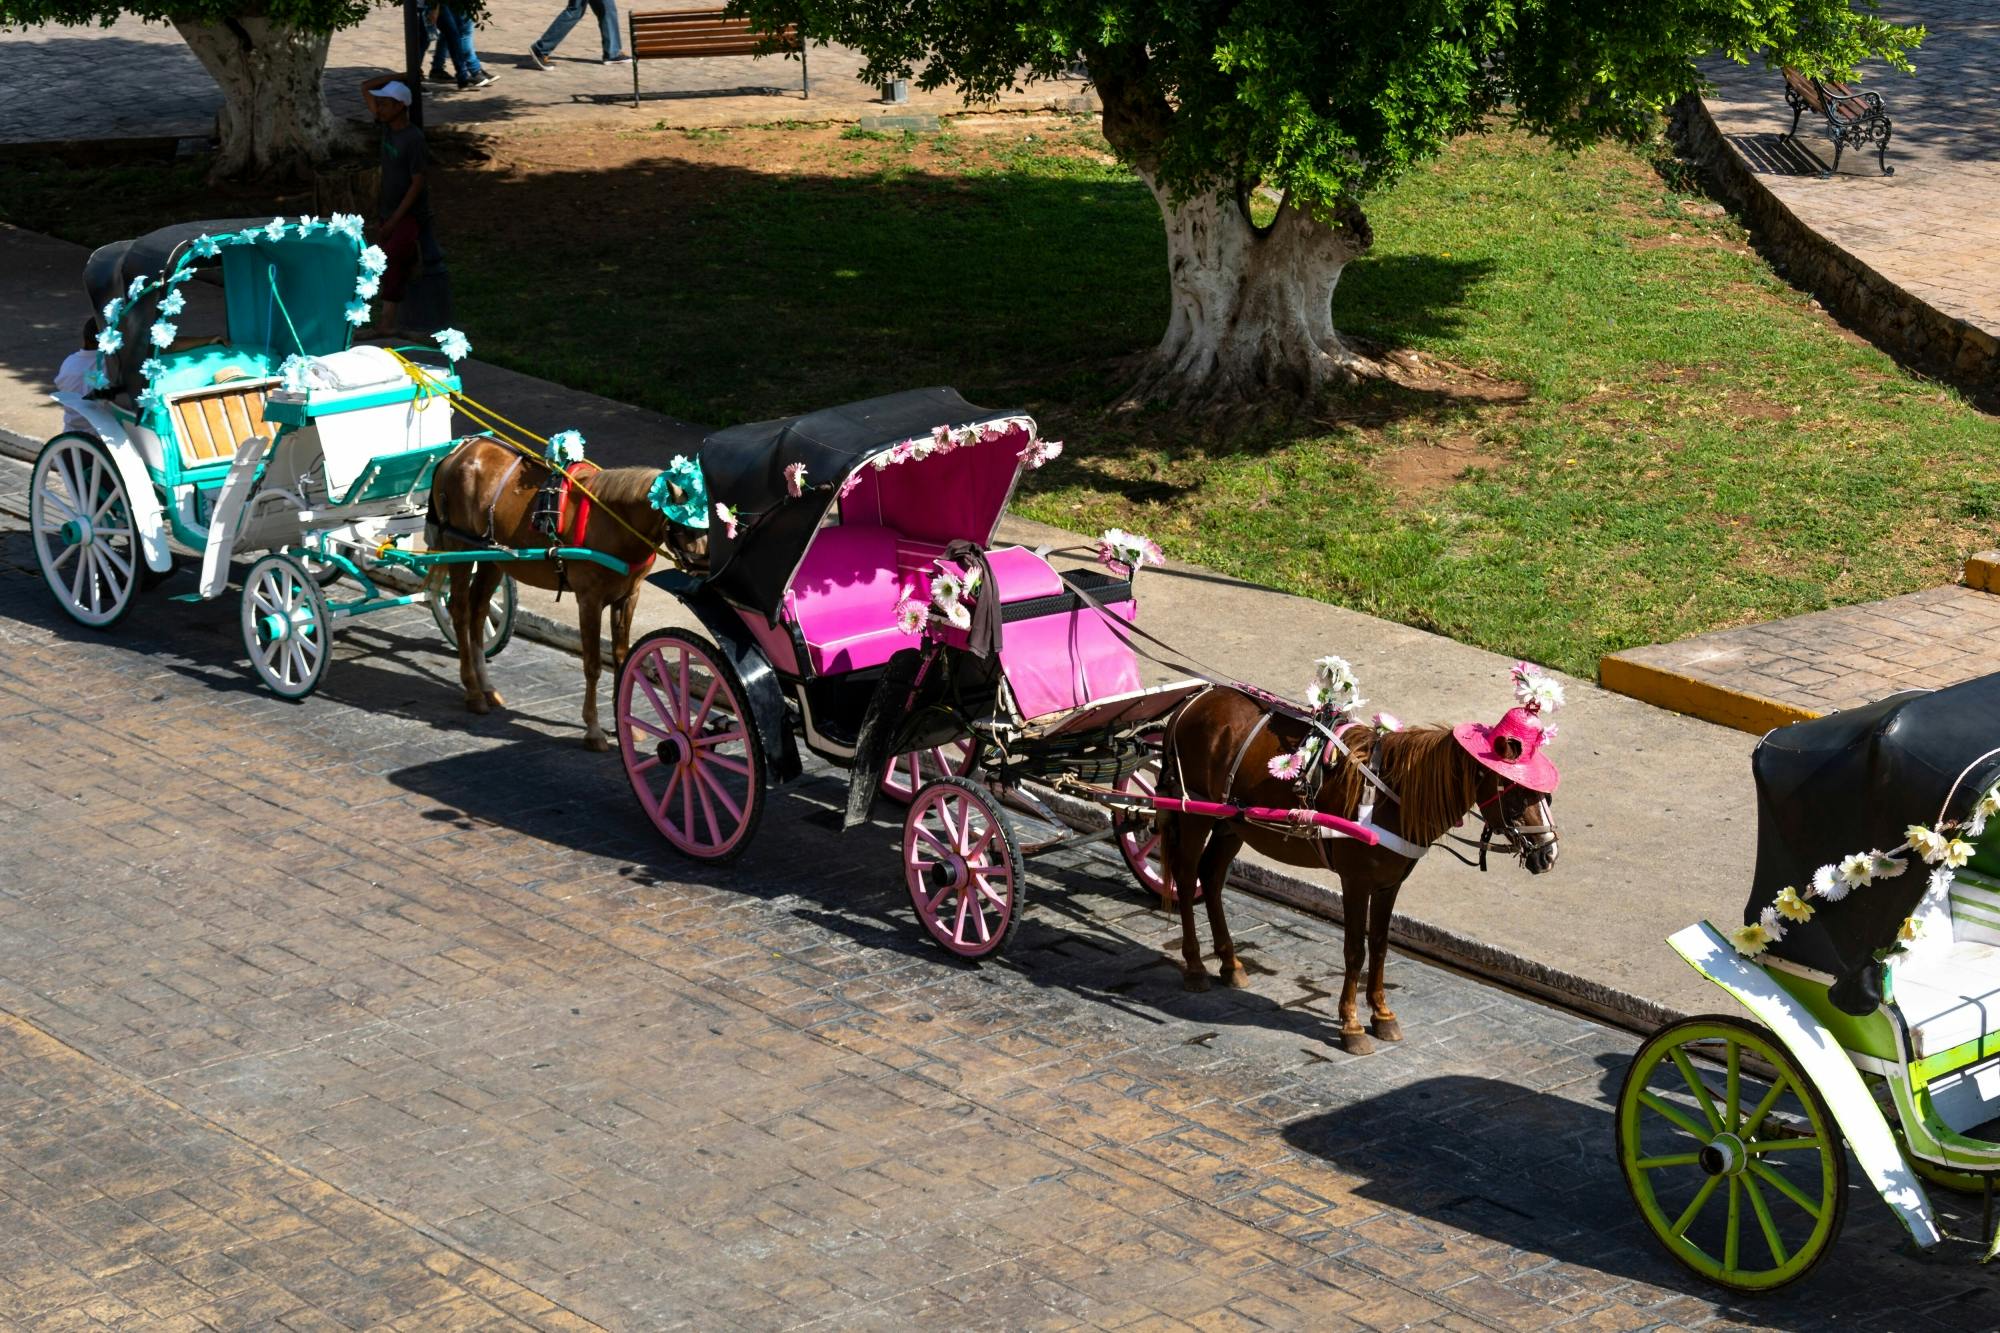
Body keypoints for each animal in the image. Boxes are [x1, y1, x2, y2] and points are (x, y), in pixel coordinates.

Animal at [426, 436, 708, 748]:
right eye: (684, 526)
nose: (709, 569)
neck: (614, 520)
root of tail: (460, 451)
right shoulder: (590, 600)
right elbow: (593, 664)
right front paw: (594, 729)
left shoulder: (627, 597)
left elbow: (622, 658)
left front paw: (625, 725)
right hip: (459, 549)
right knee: (461, 611)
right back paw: (473, 691)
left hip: (492, 557)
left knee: (478, 612)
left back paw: (486, 687)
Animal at [1152, 684, 1552, 1048]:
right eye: (1517, 792)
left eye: (1545, 794)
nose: (1548, 853)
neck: (1391, 797)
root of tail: (1195, 699)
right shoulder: (1356, 882)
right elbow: (1355, 951)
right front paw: (1351, 1024)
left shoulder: (1390, 883)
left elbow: (1379, 945)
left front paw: (1382, 1014)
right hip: (1194, 815)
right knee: (1186, 879)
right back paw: (1195, 966)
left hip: (1232, 823)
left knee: (1211, 876)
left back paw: (1230, 964)